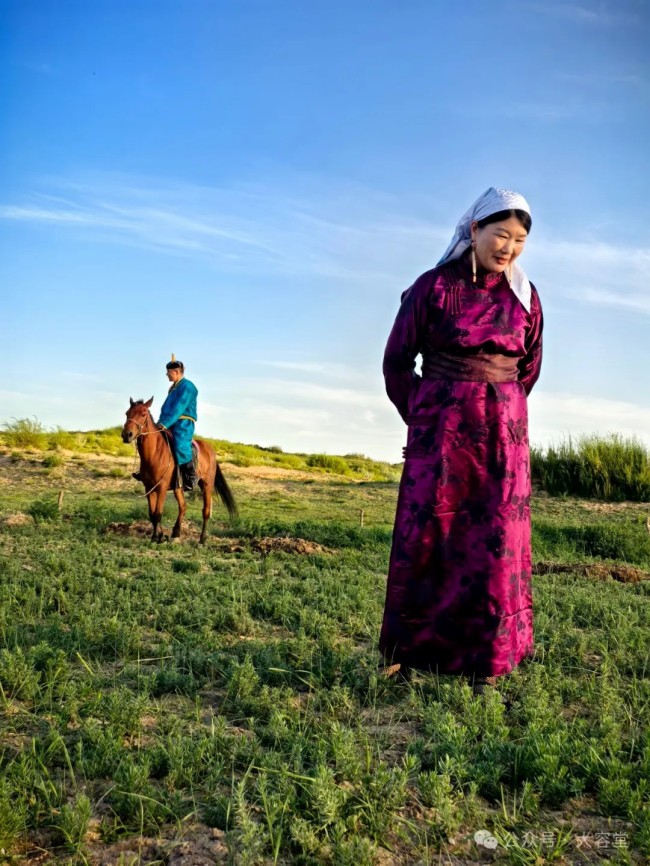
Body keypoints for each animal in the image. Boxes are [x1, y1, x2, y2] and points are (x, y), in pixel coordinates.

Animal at [120, 396, 237, 544]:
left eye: (143, 414)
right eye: (127, 413)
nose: (127, 435)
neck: (155, 453)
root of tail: (210, 449)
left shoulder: (162, 488)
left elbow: (158, 513)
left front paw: (156, 537)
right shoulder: (149, 488)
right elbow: (152, 514)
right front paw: (160, 535)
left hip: (207, 484)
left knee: (205, 511)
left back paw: (202, 540)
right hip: (178, 487)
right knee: (183, 506)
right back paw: (176, 532)